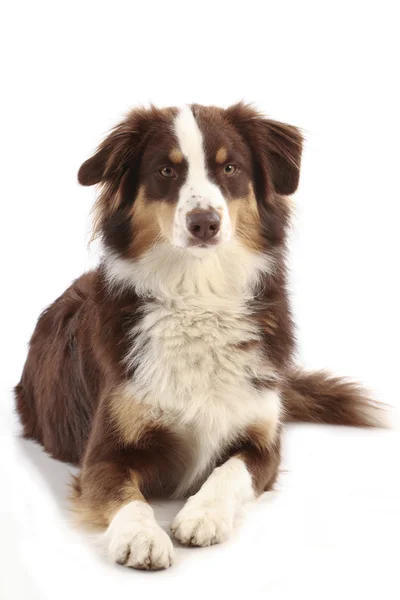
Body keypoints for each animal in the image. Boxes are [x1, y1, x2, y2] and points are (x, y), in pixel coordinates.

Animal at [14, 104, 382, 572]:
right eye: (166, 170)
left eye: (230, 168)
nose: (204, 223)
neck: (197, 295)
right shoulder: (103, 454)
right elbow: (126, 496)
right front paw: (141, 536)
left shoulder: (263, 441)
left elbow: (230, 470)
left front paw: (203, 514)